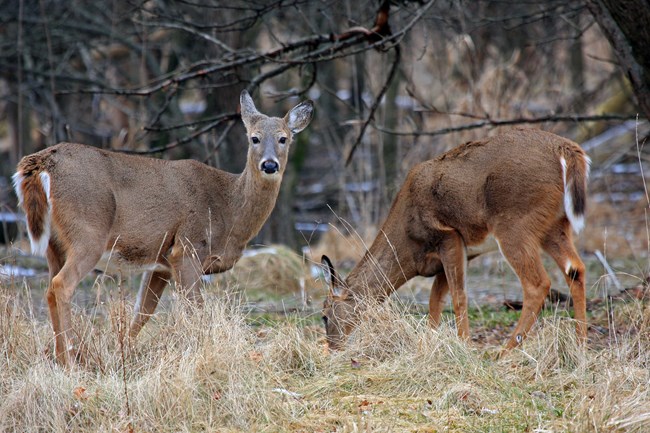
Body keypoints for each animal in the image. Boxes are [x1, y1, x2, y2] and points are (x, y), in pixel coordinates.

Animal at [12, 90, 314, 366]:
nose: (270, 164)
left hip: (54, 245)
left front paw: (123, 352)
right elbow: (195, 309)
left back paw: (58, 357)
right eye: (254, 138)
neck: (230, 211)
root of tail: (41, 163)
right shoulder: (189, 247)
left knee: (51, 287)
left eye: (284, 138)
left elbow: (143, 311)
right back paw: (70, 359)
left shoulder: (161, 262)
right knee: (61, 285)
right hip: (88, 233)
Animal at [321, 128, 590, 351]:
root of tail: (565, 149)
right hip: (555, 225)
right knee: (575, 269)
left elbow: (458, 297)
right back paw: (580, 344)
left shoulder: (447, 236)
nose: (332, 348)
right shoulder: (448, 257)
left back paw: (505, 351)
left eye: (324, 315)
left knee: (537, 283)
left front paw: (464, 345)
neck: (409, 248)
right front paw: (429, 343)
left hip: (514, 224)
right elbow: (435, 300)